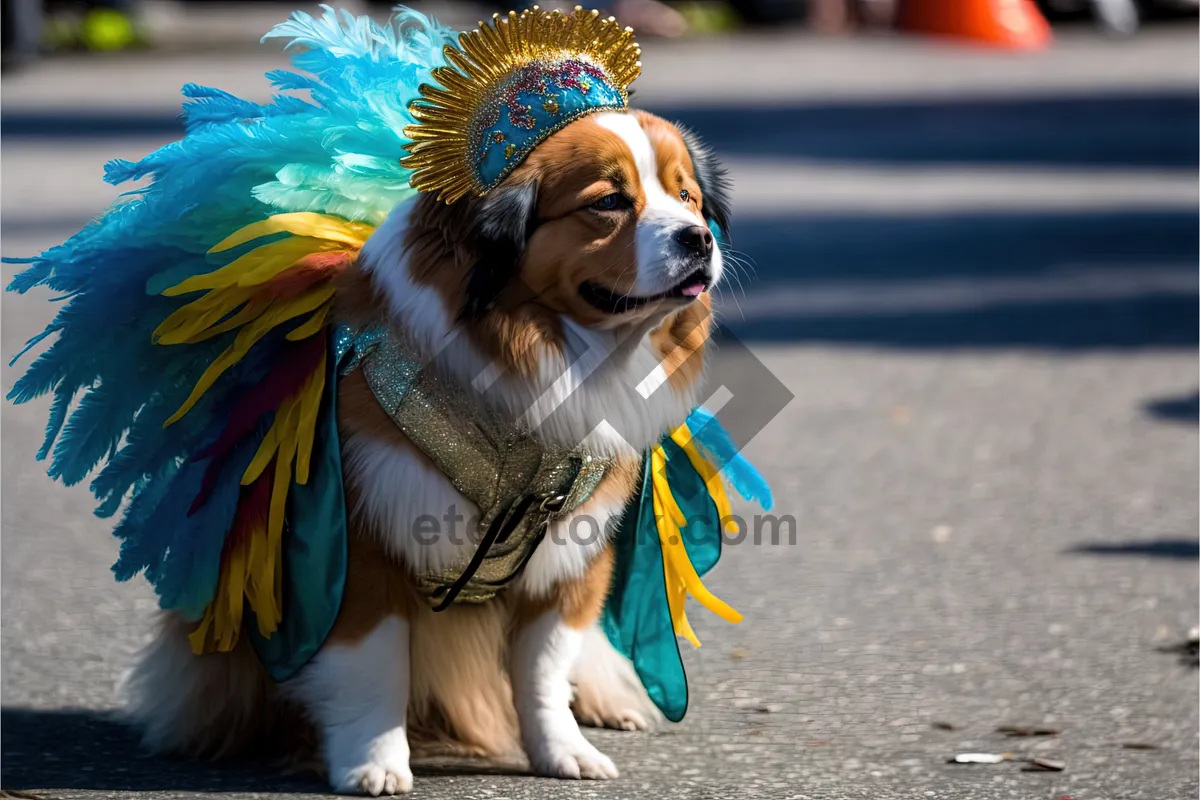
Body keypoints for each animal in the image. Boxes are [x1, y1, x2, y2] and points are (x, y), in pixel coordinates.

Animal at [119, 109, 729, 796]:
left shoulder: (571, 557)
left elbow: (544, 668)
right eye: (609, 202)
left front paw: (562, 751)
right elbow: (377, 664)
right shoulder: (361, 546)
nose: (699, 239)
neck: (551, 356)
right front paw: (374, 761)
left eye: (686, 197)